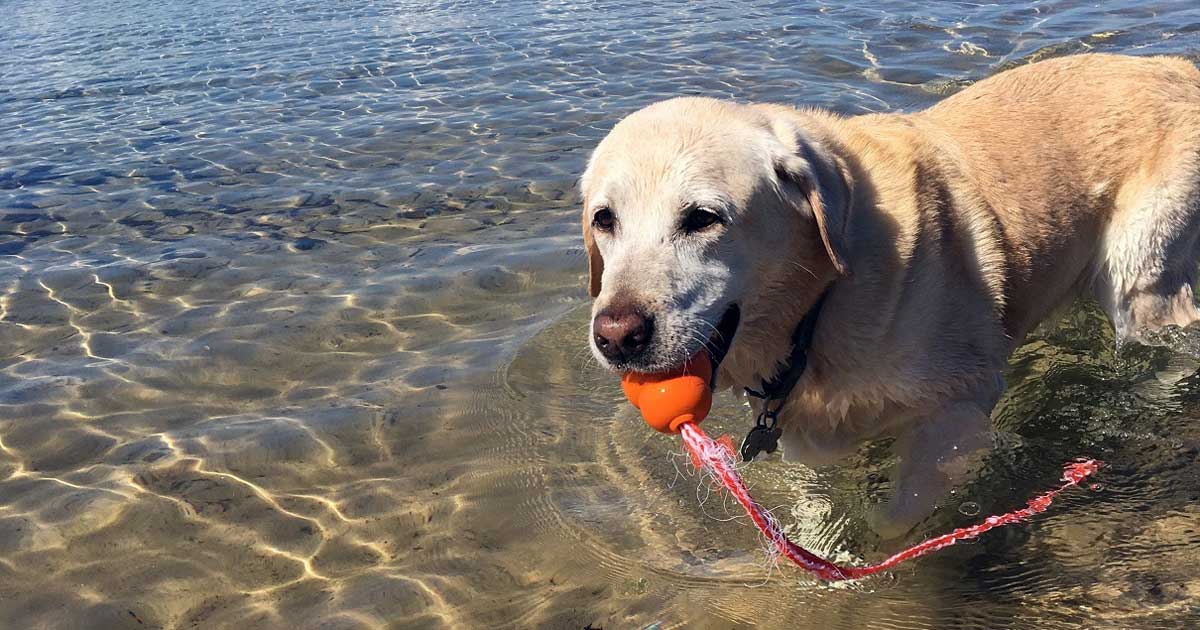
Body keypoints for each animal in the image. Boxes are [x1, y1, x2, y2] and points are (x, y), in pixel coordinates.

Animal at [576, 54, 1195, 535]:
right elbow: (816, 512)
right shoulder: (804, 435)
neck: (820, 305)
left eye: (703, 218)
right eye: (604, 219)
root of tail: (1173, 65)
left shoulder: (956, 409)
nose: (616, 338)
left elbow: (896, 519)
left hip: (1139, 278)